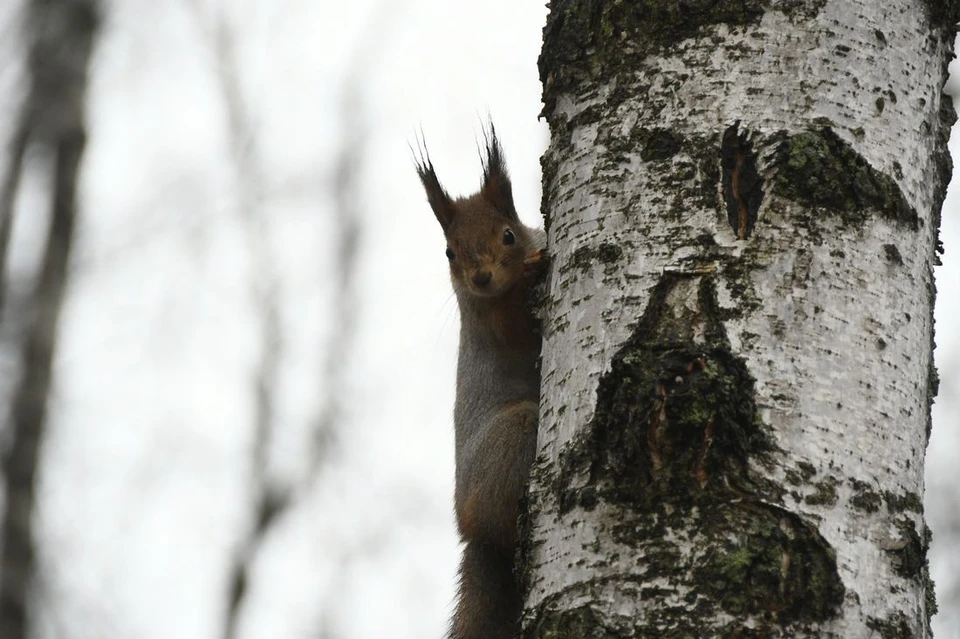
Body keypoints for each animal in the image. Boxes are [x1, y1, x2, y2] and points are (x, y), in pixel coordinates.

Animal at [414, 126, 544, 639]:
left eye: (508, 234)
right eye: (450, 251)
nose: (482, 277)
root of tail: (472, 534)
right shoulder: (490, 321)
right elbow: (518, 326)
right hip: (516, 432)